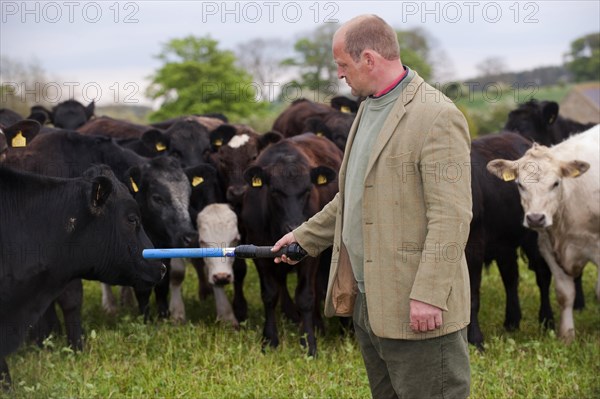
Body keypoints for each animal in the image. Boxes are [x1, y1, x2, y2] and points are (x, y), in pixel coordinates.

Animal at [240, 134, 342, 356]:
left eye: (307, 190)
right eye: (275, 192)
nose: (294, 227)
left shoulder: (310, 257)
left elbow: (305, 297)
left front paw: (309, 342)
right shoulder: (259, 254)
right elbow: (269, 295)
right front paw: (269, 340)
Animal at [488, 125, 600, 344]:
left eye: (556, 183)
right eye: (520, 184)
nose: (535, 218)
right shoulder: (548, 249)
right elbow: (564, 294)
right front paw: (566, 336)